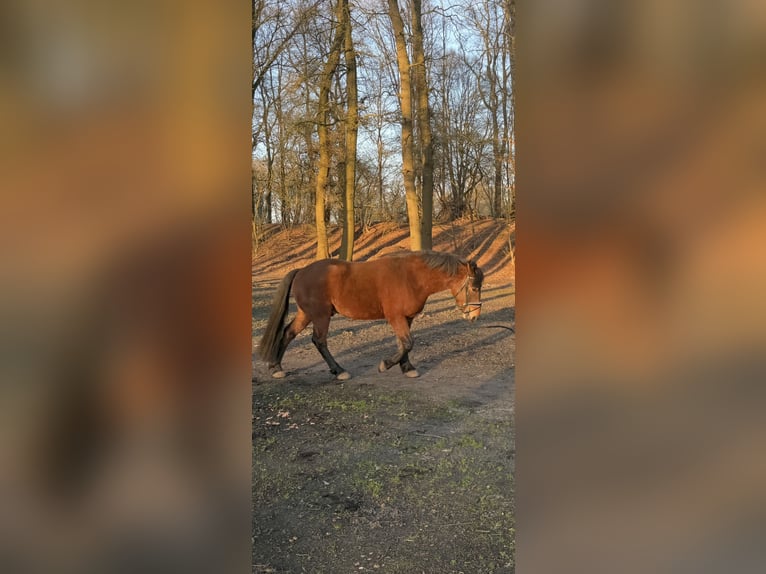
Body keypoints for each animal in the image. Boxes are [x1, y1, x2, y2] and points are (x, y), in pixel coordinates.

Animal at [257, 250, 484, 380]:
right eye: (474, 287)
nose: (474, 316)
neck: (411, 277)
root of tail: (301, 271)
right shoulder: (395, 317)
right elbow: (408, 343)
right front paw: (386, 365)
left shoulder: (406, 318)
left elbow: (404, 344)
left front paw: (407, 367)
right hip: (321, 315)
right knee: (319, 340)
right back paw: (339, 371)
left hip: (306, 314)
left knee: (288, 333)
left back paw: (276, 367)